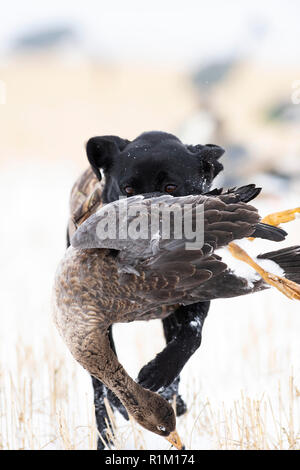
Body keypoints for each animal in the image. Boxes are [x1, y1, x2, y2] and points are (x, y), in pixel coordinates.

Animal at [67, 131, 224, 448]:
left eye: (170, 187)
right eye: (127, 189)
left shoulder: (193, 296)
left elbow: (191, 336)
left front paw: (157, 374)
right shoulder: (94, 319)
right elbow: (107, 375)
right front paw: (122, 399)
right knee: (99, 393)